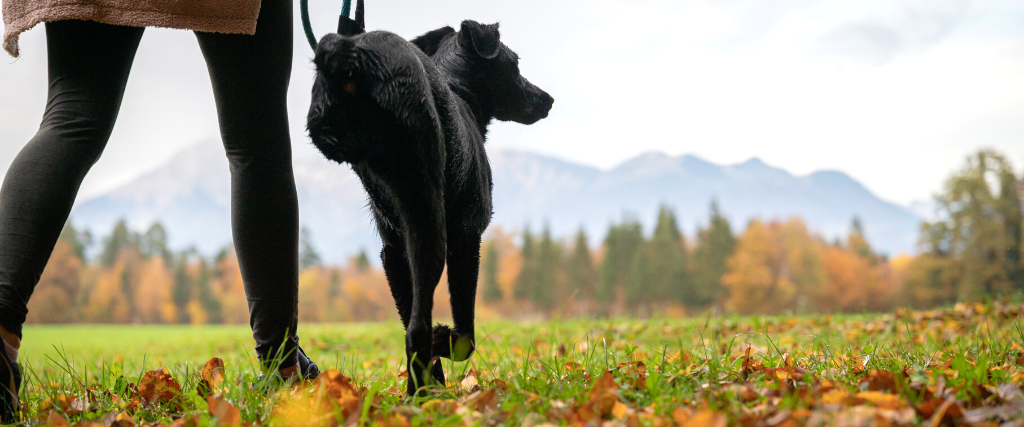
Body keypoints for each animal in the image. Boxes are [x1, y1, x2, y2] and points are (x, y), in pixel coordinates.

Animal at [307, 19, 557, 393]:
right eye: (514, 64)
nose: (548, 100)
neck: (458, 92)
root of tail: (354, 56)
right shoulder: (467, 237)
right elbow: (462, 334)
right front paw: (444, 341)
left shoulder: (392, 251)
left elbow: (410, 315)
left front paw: (433, 376)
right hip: (429, 225)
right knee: (418, 330)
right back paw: (423, 394)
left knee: (414, 327)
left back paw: (423, 390)